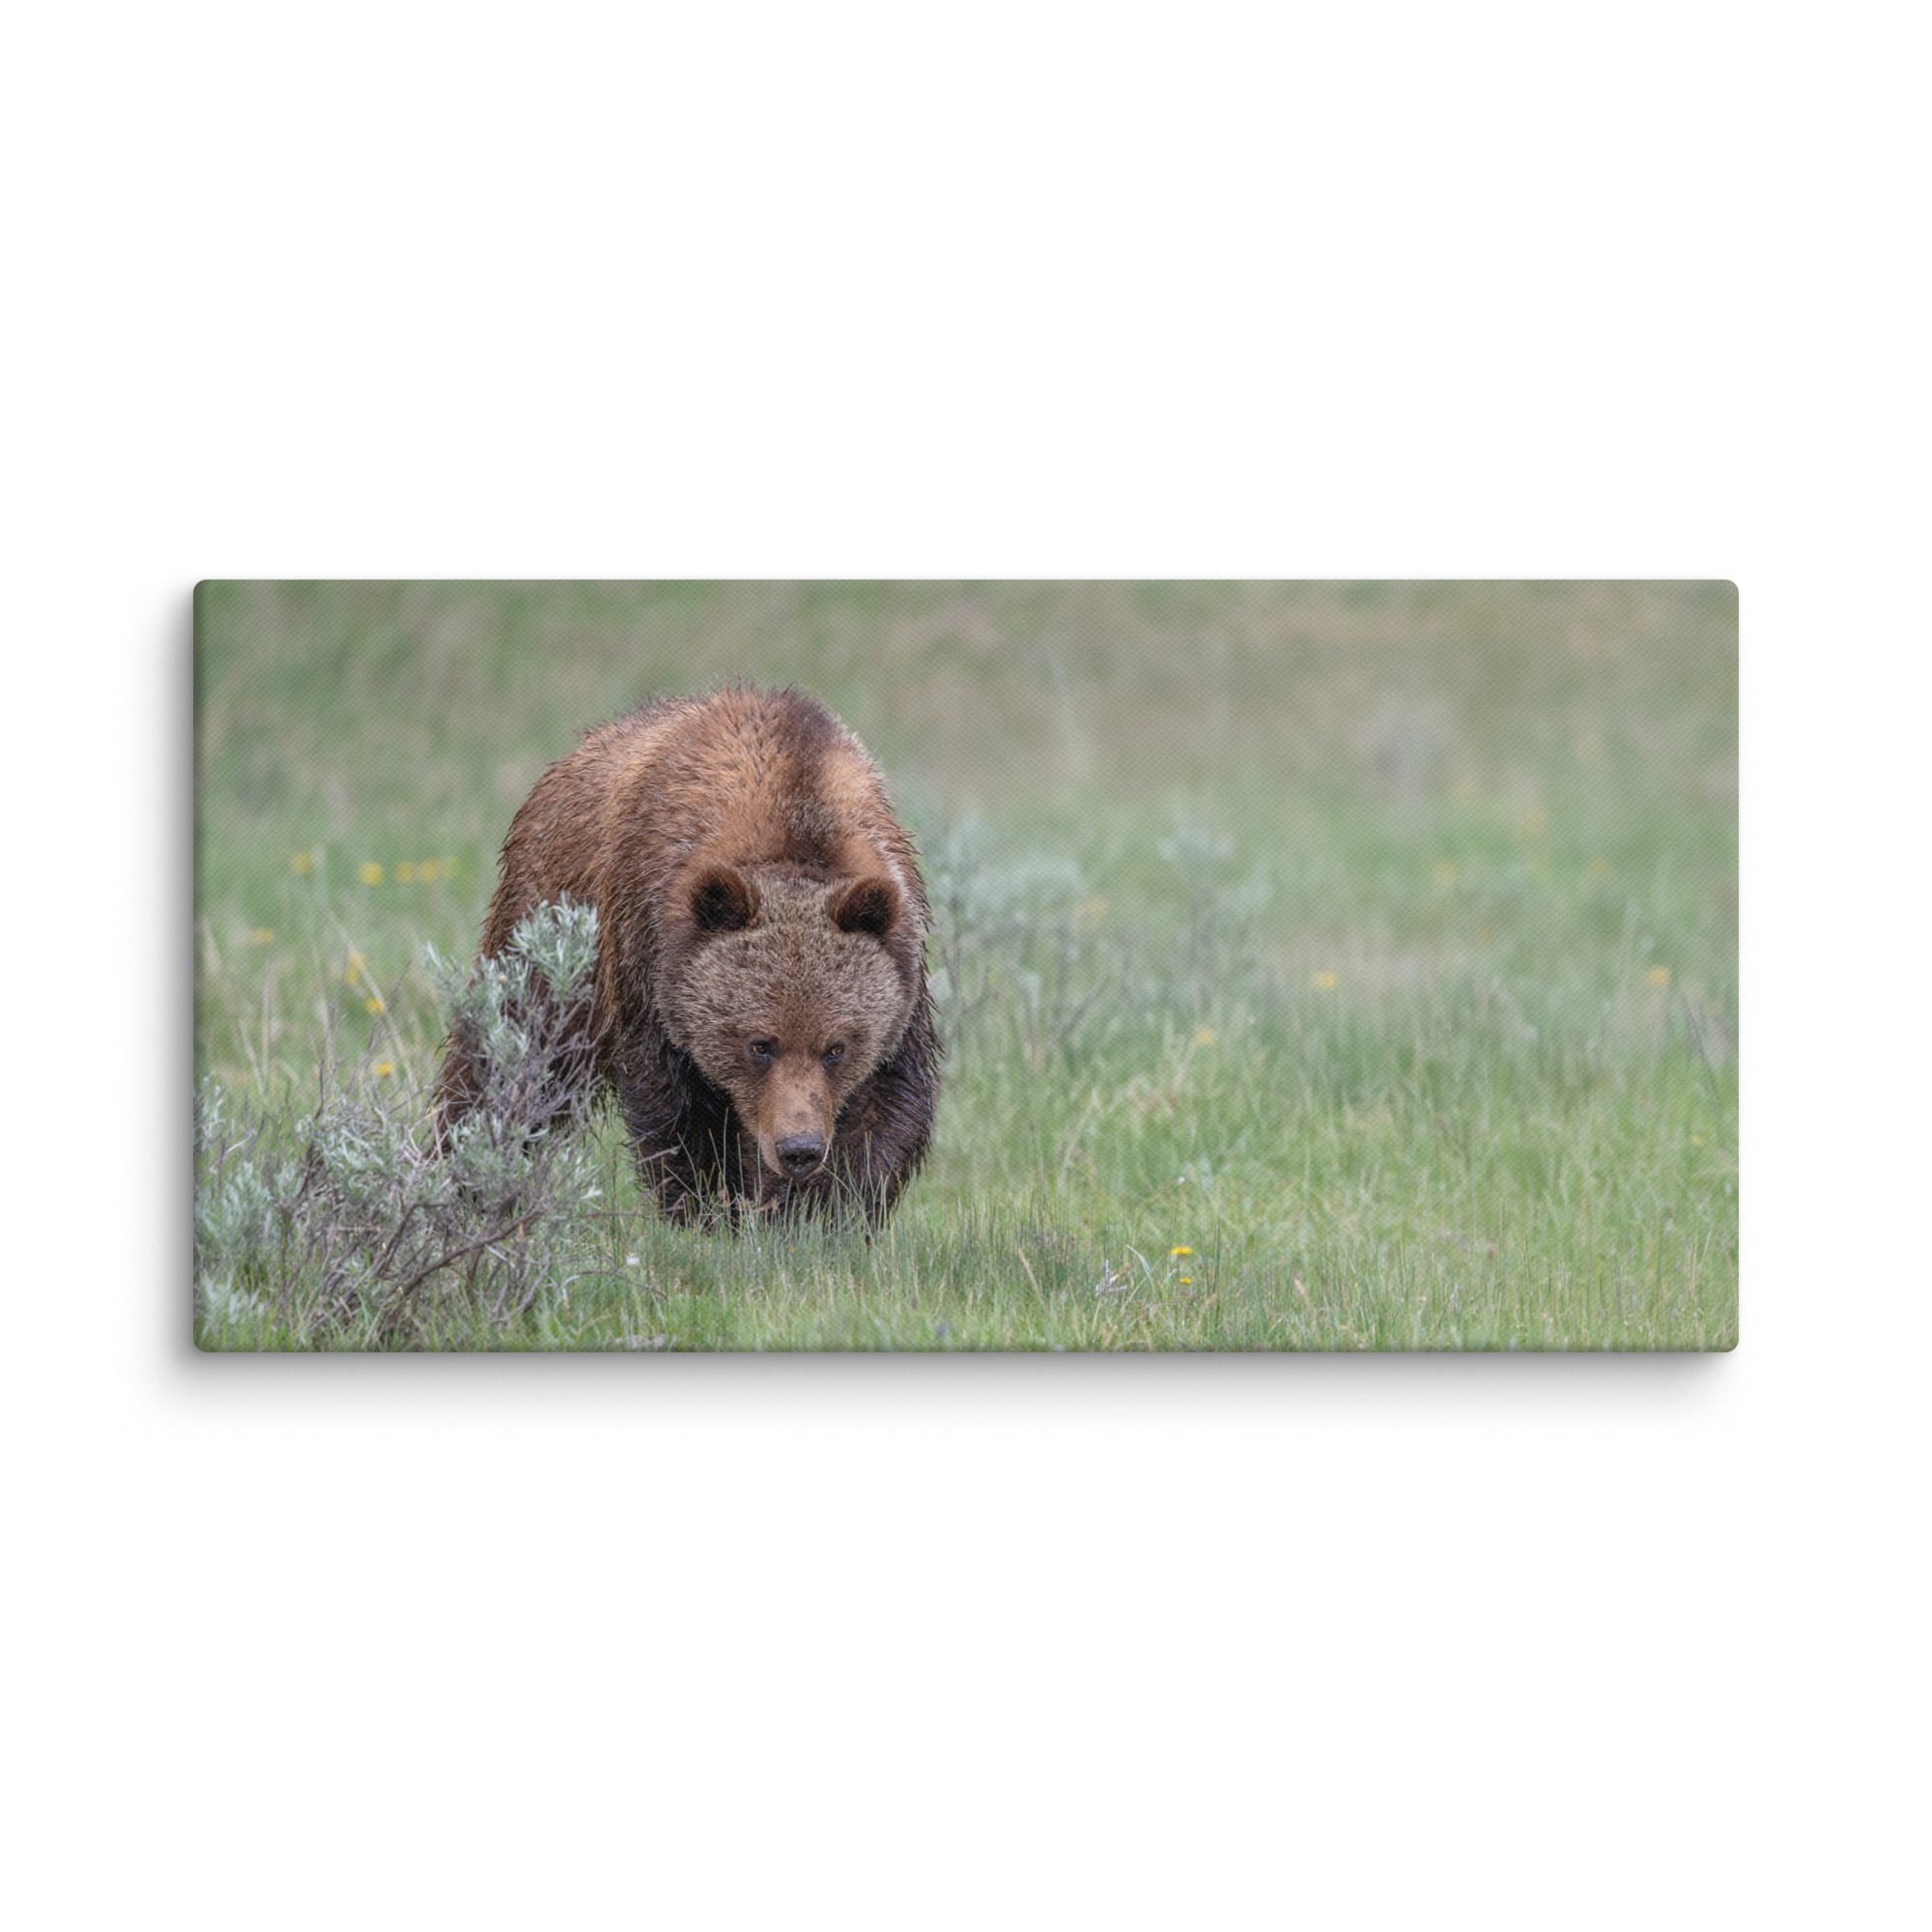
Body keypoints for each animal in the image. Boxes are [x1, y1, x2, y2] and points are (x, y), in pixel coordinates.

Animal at [434, 685, 941, 1228]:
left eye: (836, 1048)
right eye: (759, 1044)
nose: (798, 1149)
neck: (795, 816)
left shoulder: (901, 970)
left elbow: (884, 1108)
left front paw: (816, 1214)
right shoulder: (649, 957)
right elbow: (678, 1111)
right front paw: (709, 1210)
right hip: (549, 927)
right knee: (511, 1055)